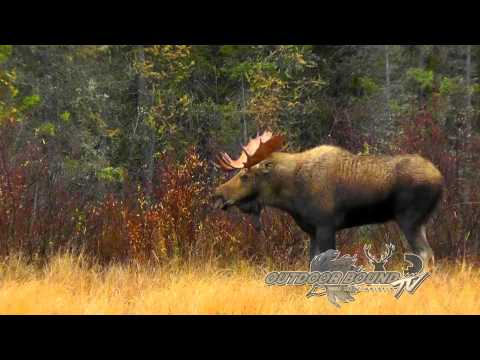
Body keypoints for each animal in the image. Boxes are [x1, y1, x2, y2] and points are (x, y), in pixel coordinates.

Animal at [212, 131, 444, 268]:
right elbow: (311, 264)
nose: (218, 193)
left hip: (409, 219)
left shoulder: (325, 226)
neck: (290, 196)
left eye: (245, 176)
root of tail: (440, 179)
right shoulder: (312, 231)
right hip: (420, 222)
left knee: (425, 255)